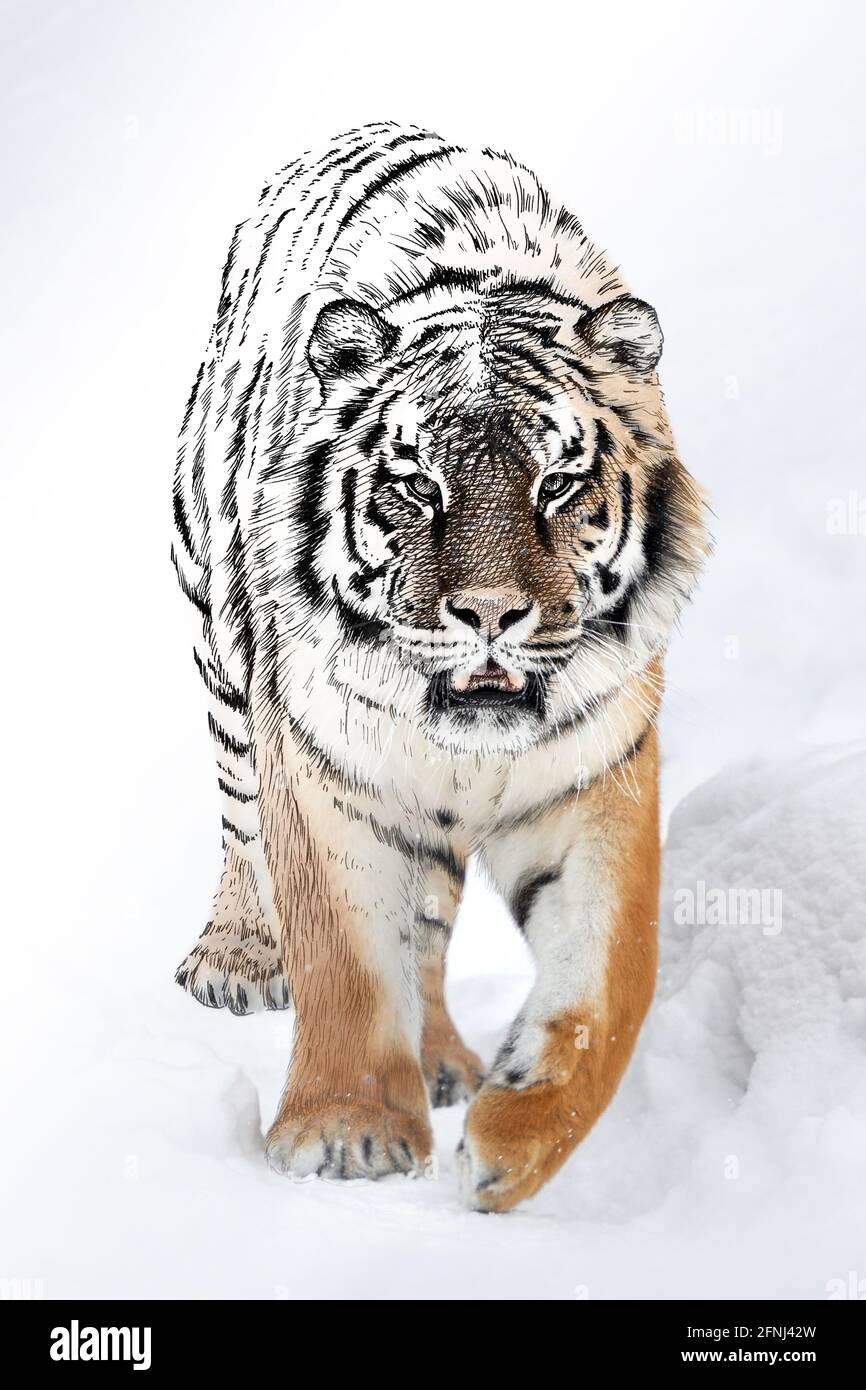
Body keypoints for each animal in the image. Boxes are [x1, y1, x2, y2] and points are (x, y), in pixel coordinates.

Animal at [171, 122, 708, 1212]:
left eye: (558, 482)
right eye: (418, 484)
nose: (490, 614)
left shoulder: (594, 775)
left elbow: (608, 983)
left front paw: (509, 1144)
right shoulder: (322, 763)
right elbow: (343, 953)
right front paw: (343, 1134)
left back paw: (448, 1064)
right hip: (217, 651)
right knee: (239, 829)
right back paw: (235, 960)